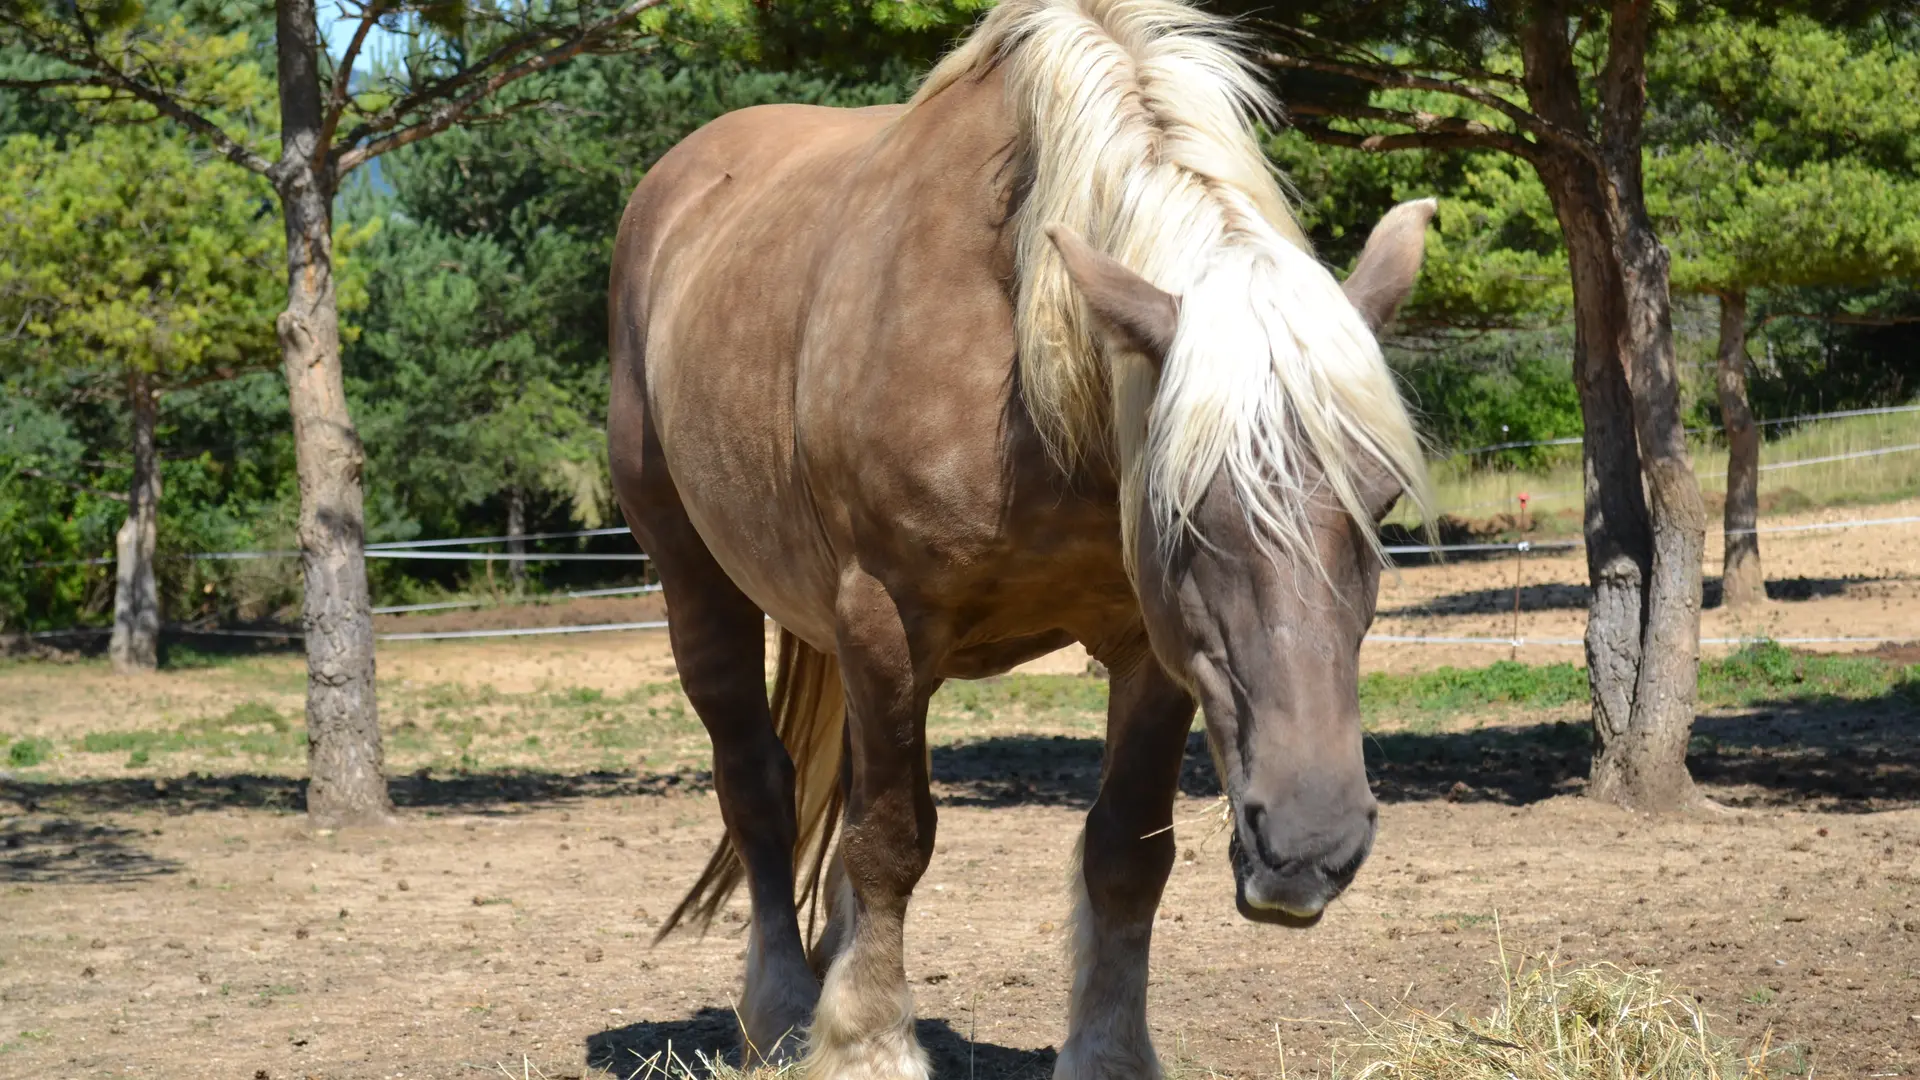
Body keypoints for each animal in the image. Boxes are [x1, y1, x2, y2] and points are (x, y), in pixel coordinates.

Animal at [606, 4, 1436, 1068]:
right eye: (1183, 510)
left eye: (1382, 502)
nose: (1310, 845)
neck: (1023, 366)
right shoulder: (885, 620)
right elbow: (892, 839)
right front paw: (868, 1043)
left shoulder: (1153, 646)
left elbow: (1126, 850)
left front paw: (1109, 1055)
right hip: (697, 582)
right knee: (759, 785)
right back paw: (787, 1012)